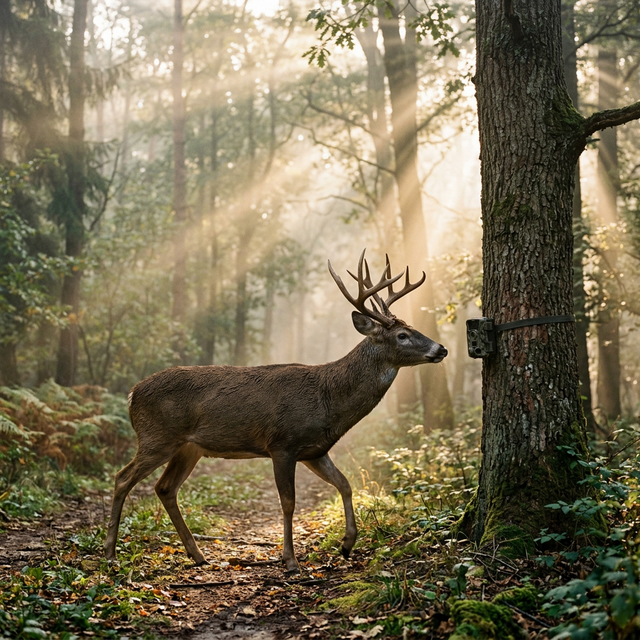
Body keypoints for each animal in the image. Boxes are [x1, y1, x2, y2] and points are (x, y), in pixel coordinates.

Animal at [104, 250, 448, 573]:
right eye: (402, 335)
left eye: (412, 328)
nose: (441, 349)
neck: (328, 399)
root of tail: (132, 394)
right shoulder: (282, 443)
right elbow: (288, 502)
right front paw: (291, 560)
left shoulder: (315, 450)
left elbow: (346, 484)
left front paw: (347, 544)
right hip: (157, 436)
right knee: (122, 478)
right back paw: (110, 555)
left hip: (189, 447)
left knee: (165, 488)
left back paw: (198, 555)